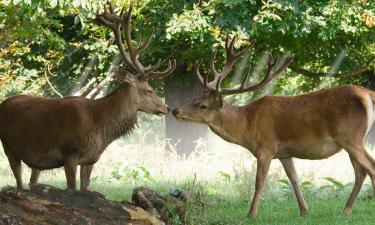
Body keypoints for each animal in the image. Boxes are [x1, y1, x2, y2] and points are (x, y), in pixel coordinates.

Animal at [0, 4, 176, 192]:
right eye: (149, 90)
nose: (167, 108)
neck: (100, 126)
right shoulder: (70, 154)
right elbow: (72, 188)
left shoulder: (90, 160)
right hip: (9, 147)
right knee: (18, 181)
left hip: (34, 162)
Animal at [174, 35, 375, 218]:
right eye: (194, 99)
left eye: (202, 106)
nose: (175, 110)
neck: (247, 125)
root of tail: (367, 93)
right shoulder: (285, 152)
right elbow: (294, 178)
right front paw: (304, 211)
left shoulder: (266, 147)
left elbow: (259, 181)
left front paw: (251, 214)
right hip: (352, 141)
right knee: (360, 172)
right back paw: (346, 210)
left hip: (351, 136)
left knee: (370, 166)